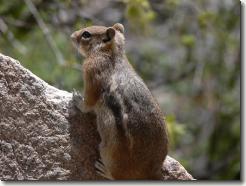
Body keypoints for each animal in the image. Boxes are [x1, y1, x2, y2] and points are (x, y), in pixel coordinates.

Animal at [70, 22, 168, 179]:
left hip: (108, 151)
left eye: (86, 34)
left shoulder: (92, 72)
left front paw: (77, 99)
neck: (110, 53)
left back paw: (104, 170)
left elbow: (89, 102)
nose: (72, 35)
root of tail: (153, 171)